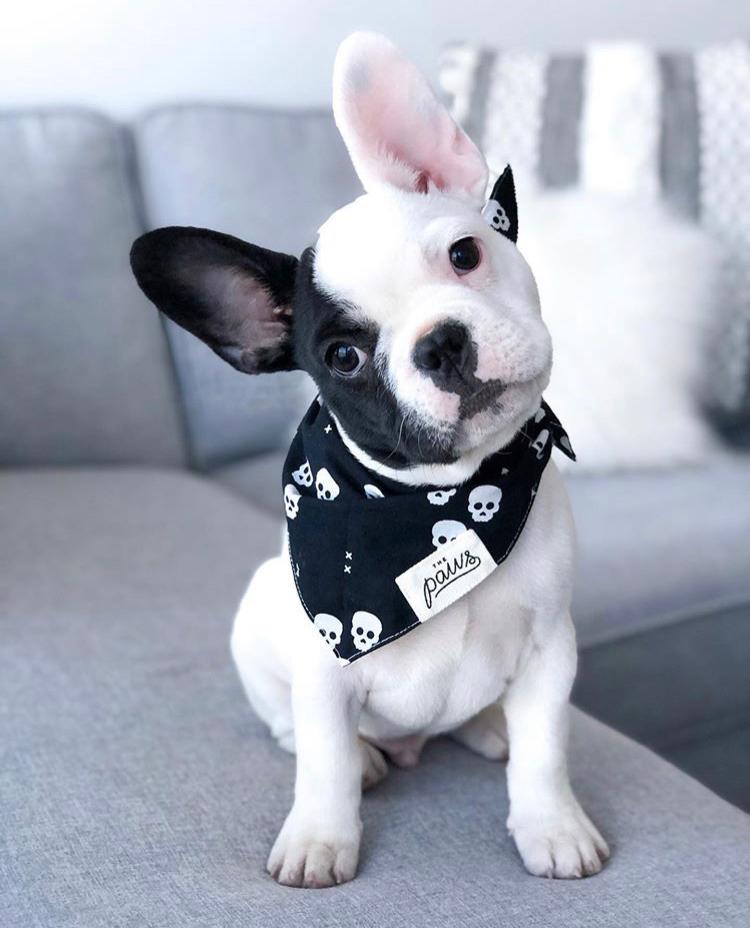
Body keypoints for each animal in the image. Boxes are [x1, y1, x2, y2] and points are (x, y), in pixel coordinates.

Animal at [131, 30, 612, 892]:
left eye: (466, 253)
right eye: (345, 356)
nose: (442, 343)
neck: (447, 504)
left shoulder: (550, 650)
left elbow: (547, 752)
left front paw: (552, 827)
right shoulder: (326, 667)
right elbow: (320, 761)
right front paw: (322, 838)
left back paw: (491, 725)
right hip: (260, 621)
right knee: (294, 730)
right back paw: (368, 756)